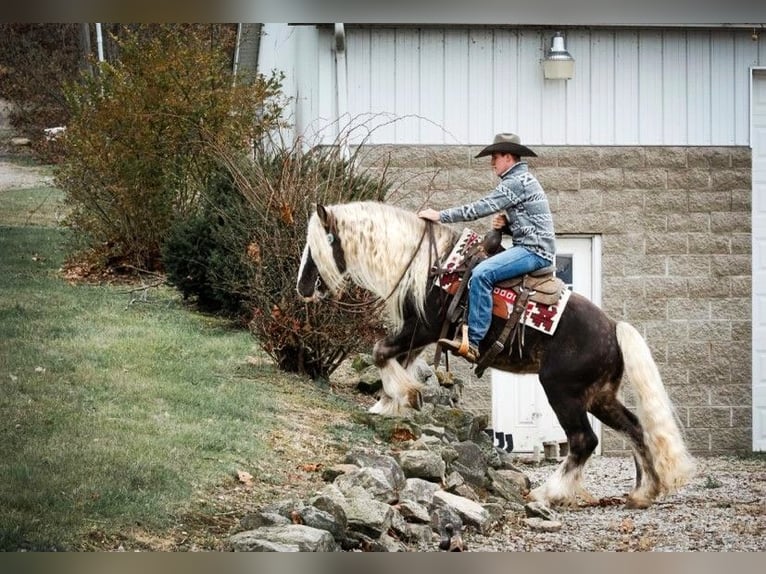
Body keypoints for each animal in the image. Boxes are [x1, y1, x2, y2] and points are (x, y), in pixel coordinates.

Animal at [296, 201, 700, 508]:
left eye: (319, 246)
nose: (302, 288)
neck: (431, 266)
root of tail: (614, 327)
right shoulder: (420, 335)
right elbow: (397, 359)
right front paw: (388, 403)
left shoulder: (423, 328)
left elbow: (381, 352)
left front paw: (403, 396)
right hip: (599, 396)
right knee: (634, 428)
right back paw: (642, 492)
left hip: (562, 391)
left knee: (584, 440)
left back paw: (547, 492)